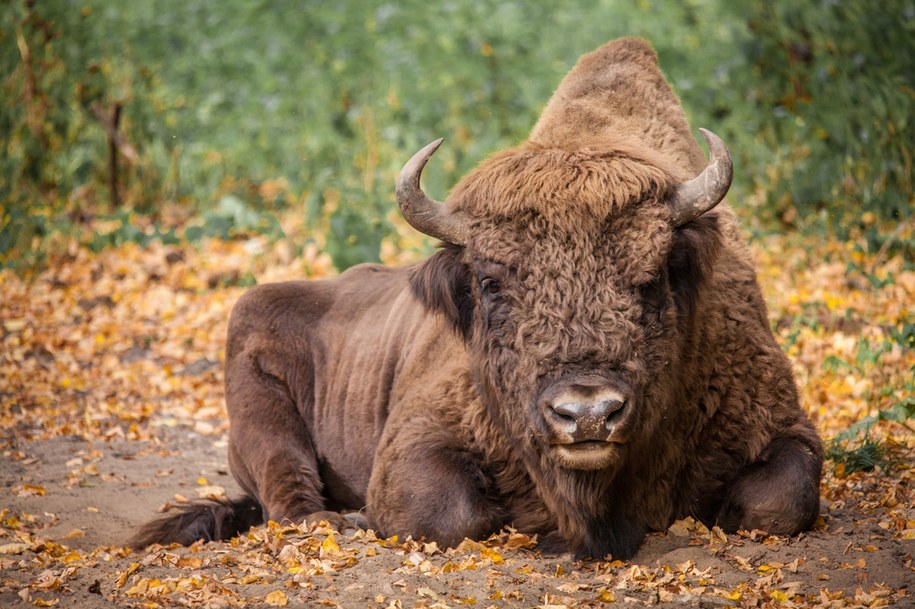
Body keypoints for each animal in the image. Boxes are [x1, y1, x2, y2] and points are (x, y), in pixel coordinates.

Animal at [134, 39, 824, 560]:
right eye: (492, 283)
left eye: (652, 277)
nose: (587, 413)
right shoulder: (417, 441)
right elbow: (448, 513)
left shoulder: (781, 424)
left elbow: (779, 501)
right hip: (262, 417)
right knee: (290, 497)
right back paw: (340, 520)